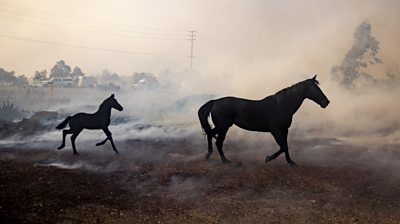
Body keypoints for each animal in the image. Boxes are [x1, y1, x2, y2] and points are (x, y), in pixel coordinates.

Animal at [198, 75, 332, 164]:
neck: (281, 105)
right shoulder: (276, 130)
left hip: (222, 126)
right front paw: (268, 158)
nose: (326, 102)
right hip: (224, 127)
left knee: (210, 135)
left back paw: (208, 155)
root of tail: (215, 102)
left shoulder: (284, 130)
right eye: (316, 89)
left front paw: (290, 161)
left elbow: (285, 146)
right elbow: (283, 146)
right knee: (218, 142)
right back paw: (225, 160)